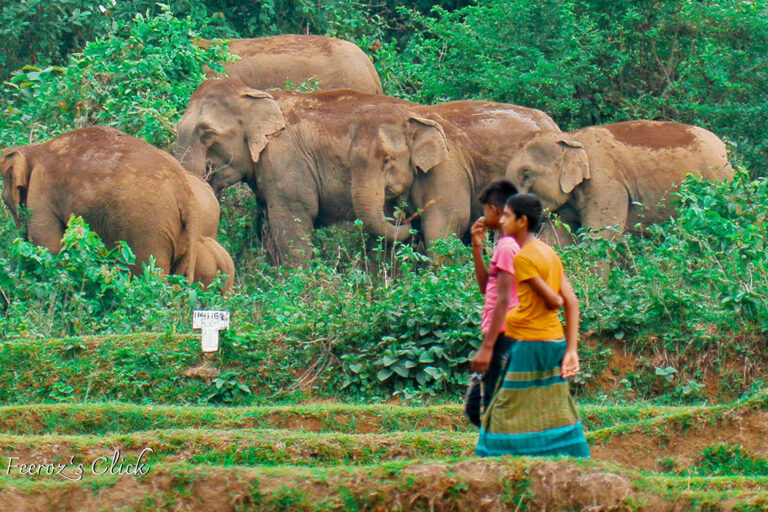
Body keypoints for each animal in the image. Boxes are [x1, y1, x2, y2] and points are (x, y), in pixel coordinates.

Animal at [0, 126, 234, 290]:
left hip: (147, 229)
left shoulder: (41, 192)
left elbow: (48, 247)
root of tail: (185, 193)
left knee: (149, 273)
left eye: (5, 200)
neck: (36, 148)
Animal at [508, 119, 736, 243]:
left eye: (526, 175)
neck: (569, 136)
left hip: (720, 183)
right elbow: (556, 238)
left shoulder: (606, 183)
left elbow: (600, 237)